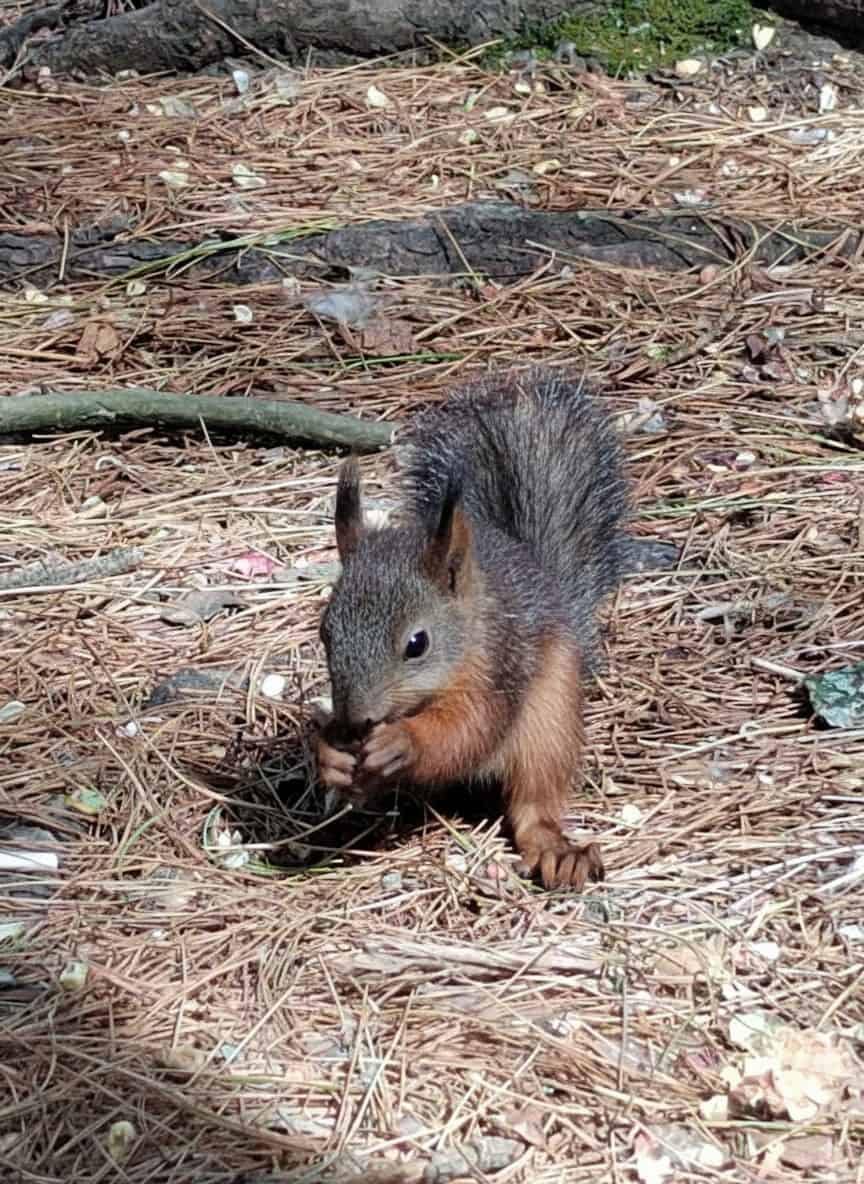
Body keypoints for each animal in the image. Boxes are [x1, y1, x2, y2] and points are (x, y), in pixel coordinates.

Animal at [315, 366, 628, 890]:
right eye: (325, 632)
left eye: (417, 644)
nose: (357, 720)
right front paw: (330, 756)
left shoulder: (497, 668)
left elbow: (468, 731)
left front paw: (406, 741)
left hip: (550, 716)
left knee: (534, 799)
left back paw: (556, 851)